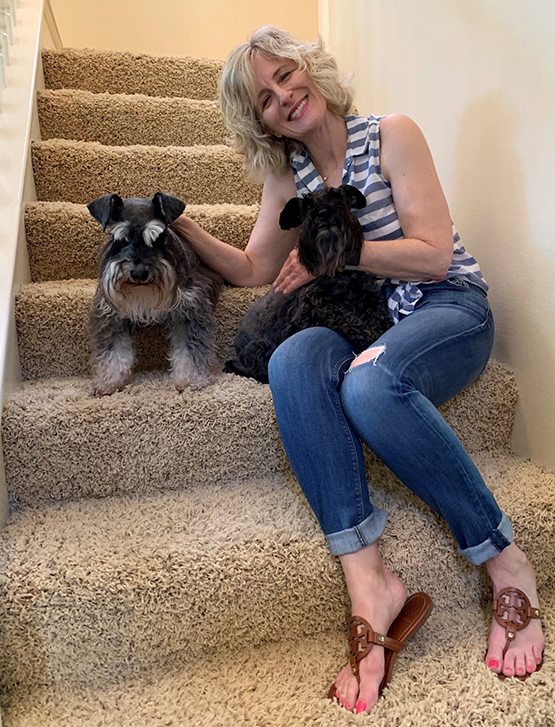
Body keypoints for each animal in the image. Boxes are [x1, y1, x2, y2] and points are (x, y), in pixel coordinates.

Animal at [87, 192, 222, 398]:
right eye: (120, 239)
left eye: (157, 238)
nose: (139, 273)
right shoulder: (109, 314)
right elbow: (113, 351)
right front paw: (109, 382)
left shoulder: (190, 308)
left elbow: (190, 349)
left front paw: (190, 380)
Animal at [224, 185, 394, 384]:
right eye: (306, 206)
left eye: (337, 196)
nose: (323, 213)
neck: (336, 270)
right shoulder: (313, 308)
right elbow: (346, 318)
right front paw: (370, 336)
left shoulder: (369, 296)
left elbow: (379, 316)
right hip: (260, 349)